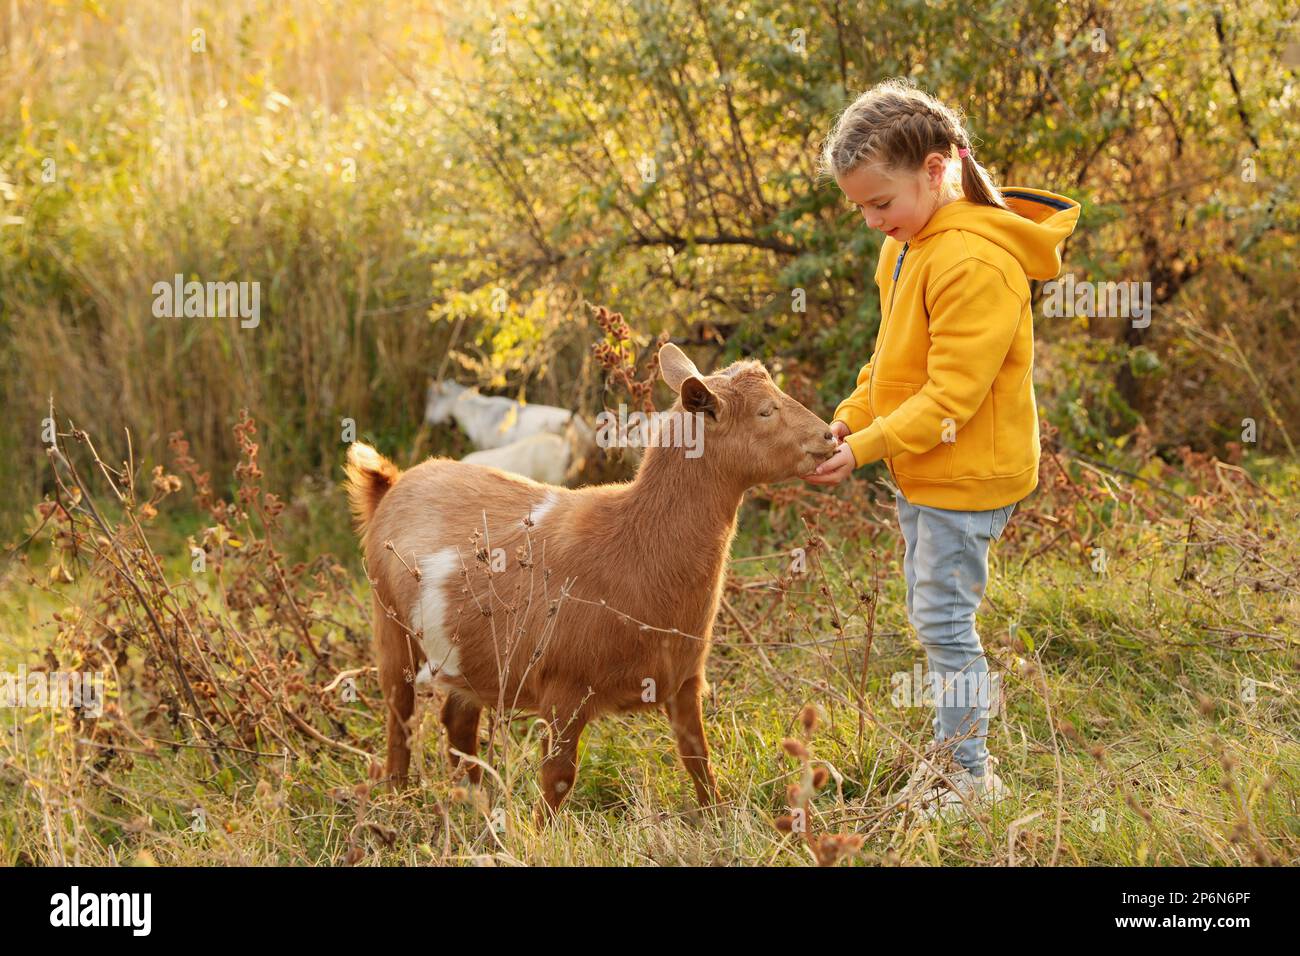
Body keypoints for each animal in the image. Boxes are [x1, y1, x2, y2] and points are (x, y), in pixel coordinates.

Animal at [347, 343, 838, 817]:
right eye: (765, 411)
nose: (829, 436)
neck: (635, 541)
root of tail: (391, 485)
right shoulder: (564, 690)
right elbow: (559, 777)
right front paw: (540, 834)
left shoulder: (684, 680)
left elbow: (697, 757)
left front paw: (718, 817)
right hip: (390, 626)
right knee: (400, 715)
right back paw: (397, 796)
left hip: (465, 656)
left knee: (458, 721)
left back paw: (476, 803)